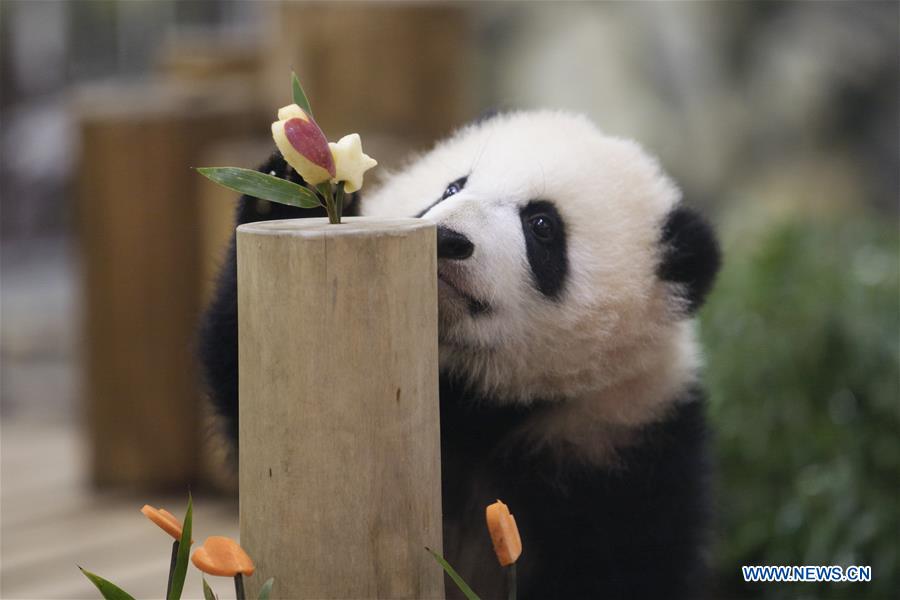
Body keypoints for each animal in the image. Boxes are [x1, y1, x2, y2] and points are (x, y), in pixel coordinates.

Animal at [199, 110, 720, 599]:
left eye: (542, 225)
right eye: (453, 186)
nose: (449, 239)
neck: (480, 398)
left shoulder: (624, 446)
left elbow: (626, 568)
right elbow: (243, 380)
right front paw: (287, 186)